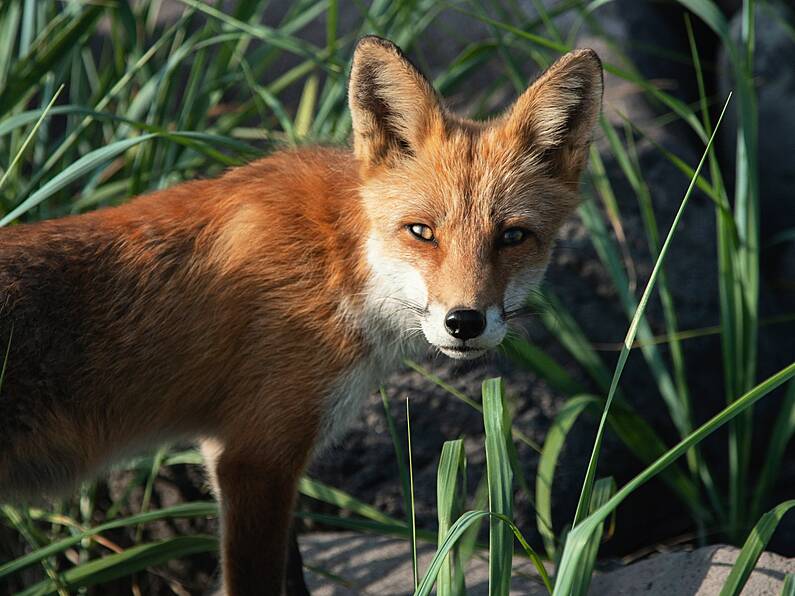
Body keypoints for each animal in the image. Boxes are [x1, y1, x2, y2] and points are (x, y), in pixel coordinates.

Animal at [0, 38, 600, 596]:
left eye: (513, 237)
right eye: (421, 232)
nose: (464, 322)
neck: (340, 262)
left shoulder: (268, 458)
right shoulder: (253, 457)